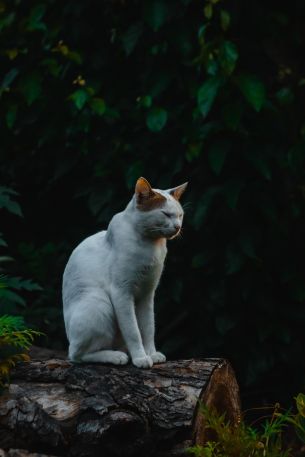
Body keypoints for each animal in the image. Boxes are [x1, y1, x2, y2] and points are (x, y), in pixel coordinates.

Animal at [62, 176, 185, 368]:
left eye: (180, 215)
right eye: (165, 214)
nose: (178, 227)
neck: (150, 246)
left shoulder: (147, 294)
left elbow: (148, 328)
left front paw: (152, 354)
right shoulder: (121, 292)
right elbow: (133, 331)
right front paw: (141, 358)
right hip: (99, 304)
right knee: (77, 355)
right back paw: (116, 356)